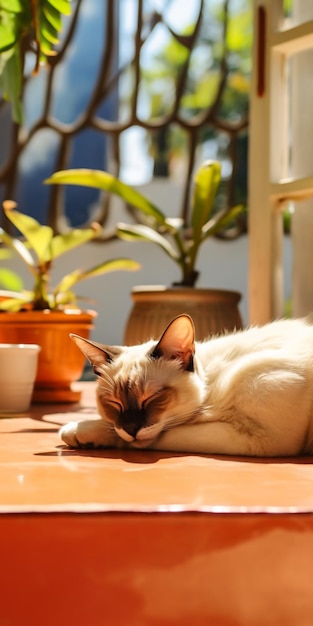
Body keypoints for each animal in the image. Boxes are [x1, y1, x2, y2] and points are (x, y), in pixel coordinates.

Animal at [59, 314, 313, 456]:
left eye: (151, 398)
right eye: (114, 403)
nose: (131, 429)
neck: (211, 386)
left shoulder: (259, 439)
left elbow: (157, 436)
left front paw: (79, 430)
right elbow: (114, 427)